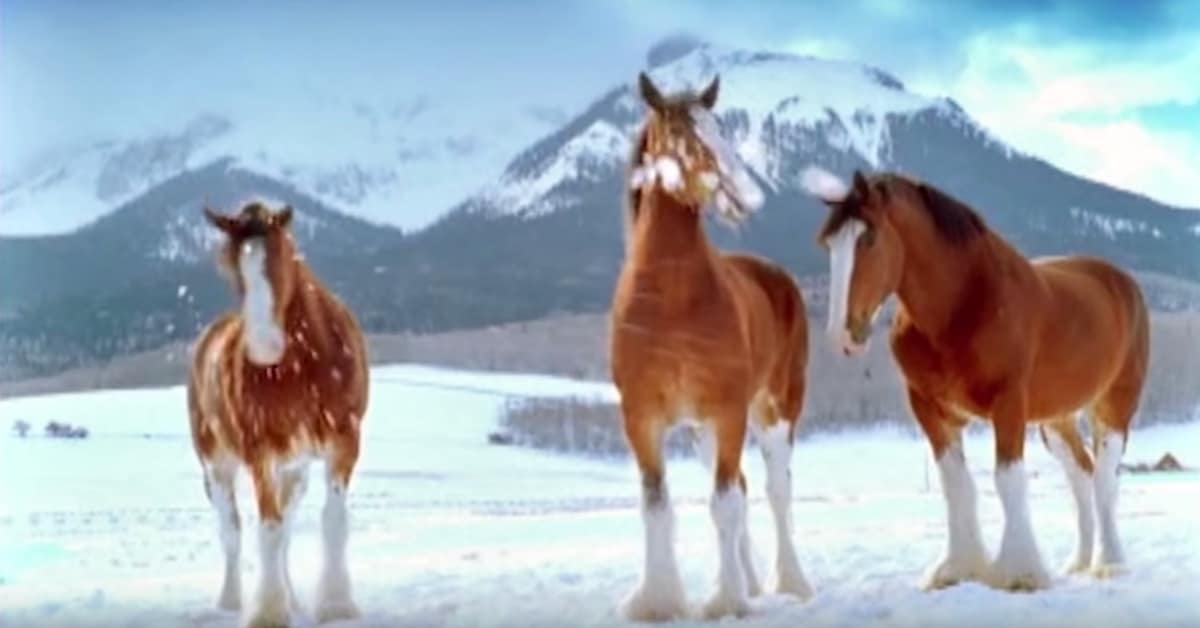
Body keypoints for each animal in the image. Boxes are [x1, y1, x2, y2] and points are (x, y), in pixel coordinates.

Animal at [187, 202, 369, 628]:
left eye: (282, 253)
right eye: (231, 265)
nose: (265, 347)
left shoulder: (345, 442)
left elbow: (331, 522)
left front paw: (335, 605)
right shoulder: (260, 453)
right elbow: (267, 530)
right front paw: (267, 612)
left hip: (295, 469)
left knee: (285, 530)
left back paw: (295, 602)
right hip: (217, 466)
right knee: (232, 532)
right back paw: (231, 601)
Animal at [609, 71, 816, 619]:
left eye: (721, 127)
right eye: (681, 133)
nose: (743, 196)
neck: (673, 302)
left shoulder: (728, 412)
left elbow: (725, 505)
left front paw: (726, 603)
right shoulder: (643, 419)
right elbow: (657, 507)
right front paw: (659, 601)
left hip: (773, 411)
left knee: (776, 490)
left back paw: (791, 583)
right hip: (702, 432)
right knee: (743, 487)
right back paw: (752, 583)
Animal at [801, 165, 1147, 590]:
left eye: (868, 238)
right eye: (828, 244)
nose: (842, 335)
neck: (962, 305)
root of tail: (1121, 282)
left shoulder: (1008, 405)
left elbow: (1008, 480)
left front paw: (1019, 571)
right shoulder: (929, 408)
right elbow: (956, 485)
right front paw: (957, 568)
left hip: (1114, 406)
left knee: (1104, 480)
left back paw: (1109, 563)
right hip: (1056, 419)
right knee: (1081, 475)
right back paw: (1078, 563)